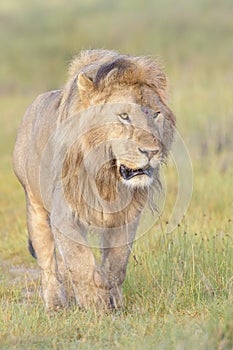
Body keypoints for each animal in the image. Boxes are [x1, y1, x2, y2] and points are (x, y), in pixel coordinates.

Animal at [12, 49, 175, 308]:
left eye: (156, 114)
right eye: (124, 116)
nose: (151, 151)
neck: (106, 176)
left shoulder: (127, 216)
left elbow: (116, 263)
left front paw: (115, 302)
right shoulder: (64, 214)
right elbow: (80, 262)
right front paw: (95, 305)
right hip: (35, 206)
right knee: (47, 261)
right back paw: (55, 304)